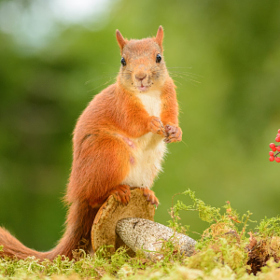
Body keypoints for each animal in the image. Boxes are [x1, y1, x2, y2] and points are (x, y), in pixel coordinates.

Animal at [0, 26, 182, 260]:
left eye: (159, 57)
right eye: (123, 61)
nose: (140, 76)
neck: (147, 94)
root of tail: (78, 193)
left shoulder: (170, 96)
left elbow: (171, 117)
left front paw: (175, 131)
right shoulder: (122, 107)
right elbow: (135, 122)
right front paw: (151, 122)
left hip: (147, 166)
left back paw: (146, 192)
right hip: (110, 153)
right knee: (95, 197)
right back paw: (116, 190)